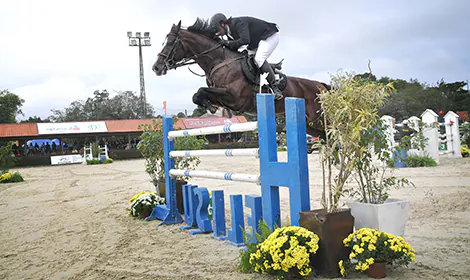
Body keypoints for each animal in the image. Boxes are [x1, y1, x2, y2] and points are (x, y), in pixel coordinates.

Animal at [152, 18, 328, 138]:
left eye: (170, 42)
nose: (156, 68)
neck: (218, 61)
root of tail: (320, 85)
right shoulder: (222, 96)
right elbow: (198, 95)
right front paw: (210, 107)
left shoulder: (234, 97)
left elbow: (200, 91)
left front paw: (209, 107)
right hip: (310, 124)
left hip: (317, 118)